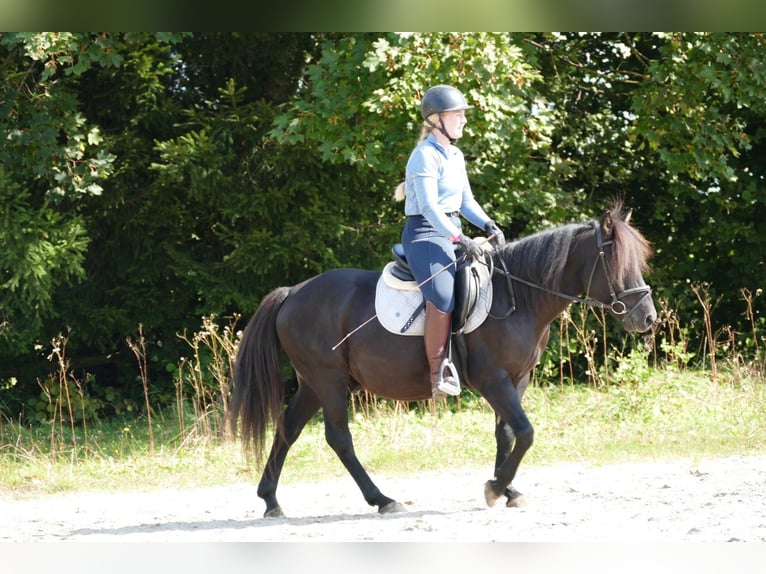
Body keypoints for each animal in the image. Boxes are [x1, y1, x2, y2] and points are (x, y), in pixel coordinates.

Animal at [230, 201, 660, 516]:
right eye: (616, 263)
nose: (648, 318)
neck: (518, 297)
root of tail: (293, 292)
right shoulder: (494, 380)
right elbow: (525, 432)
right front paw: (496, 488)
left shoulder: (516, 379)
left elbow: (506, 433)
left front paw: (508, 488)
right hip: (330, 381)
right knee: (338, 438)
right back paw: (383, 500)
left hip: (313, 384)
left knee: (288, 428)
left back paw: (271, 500)